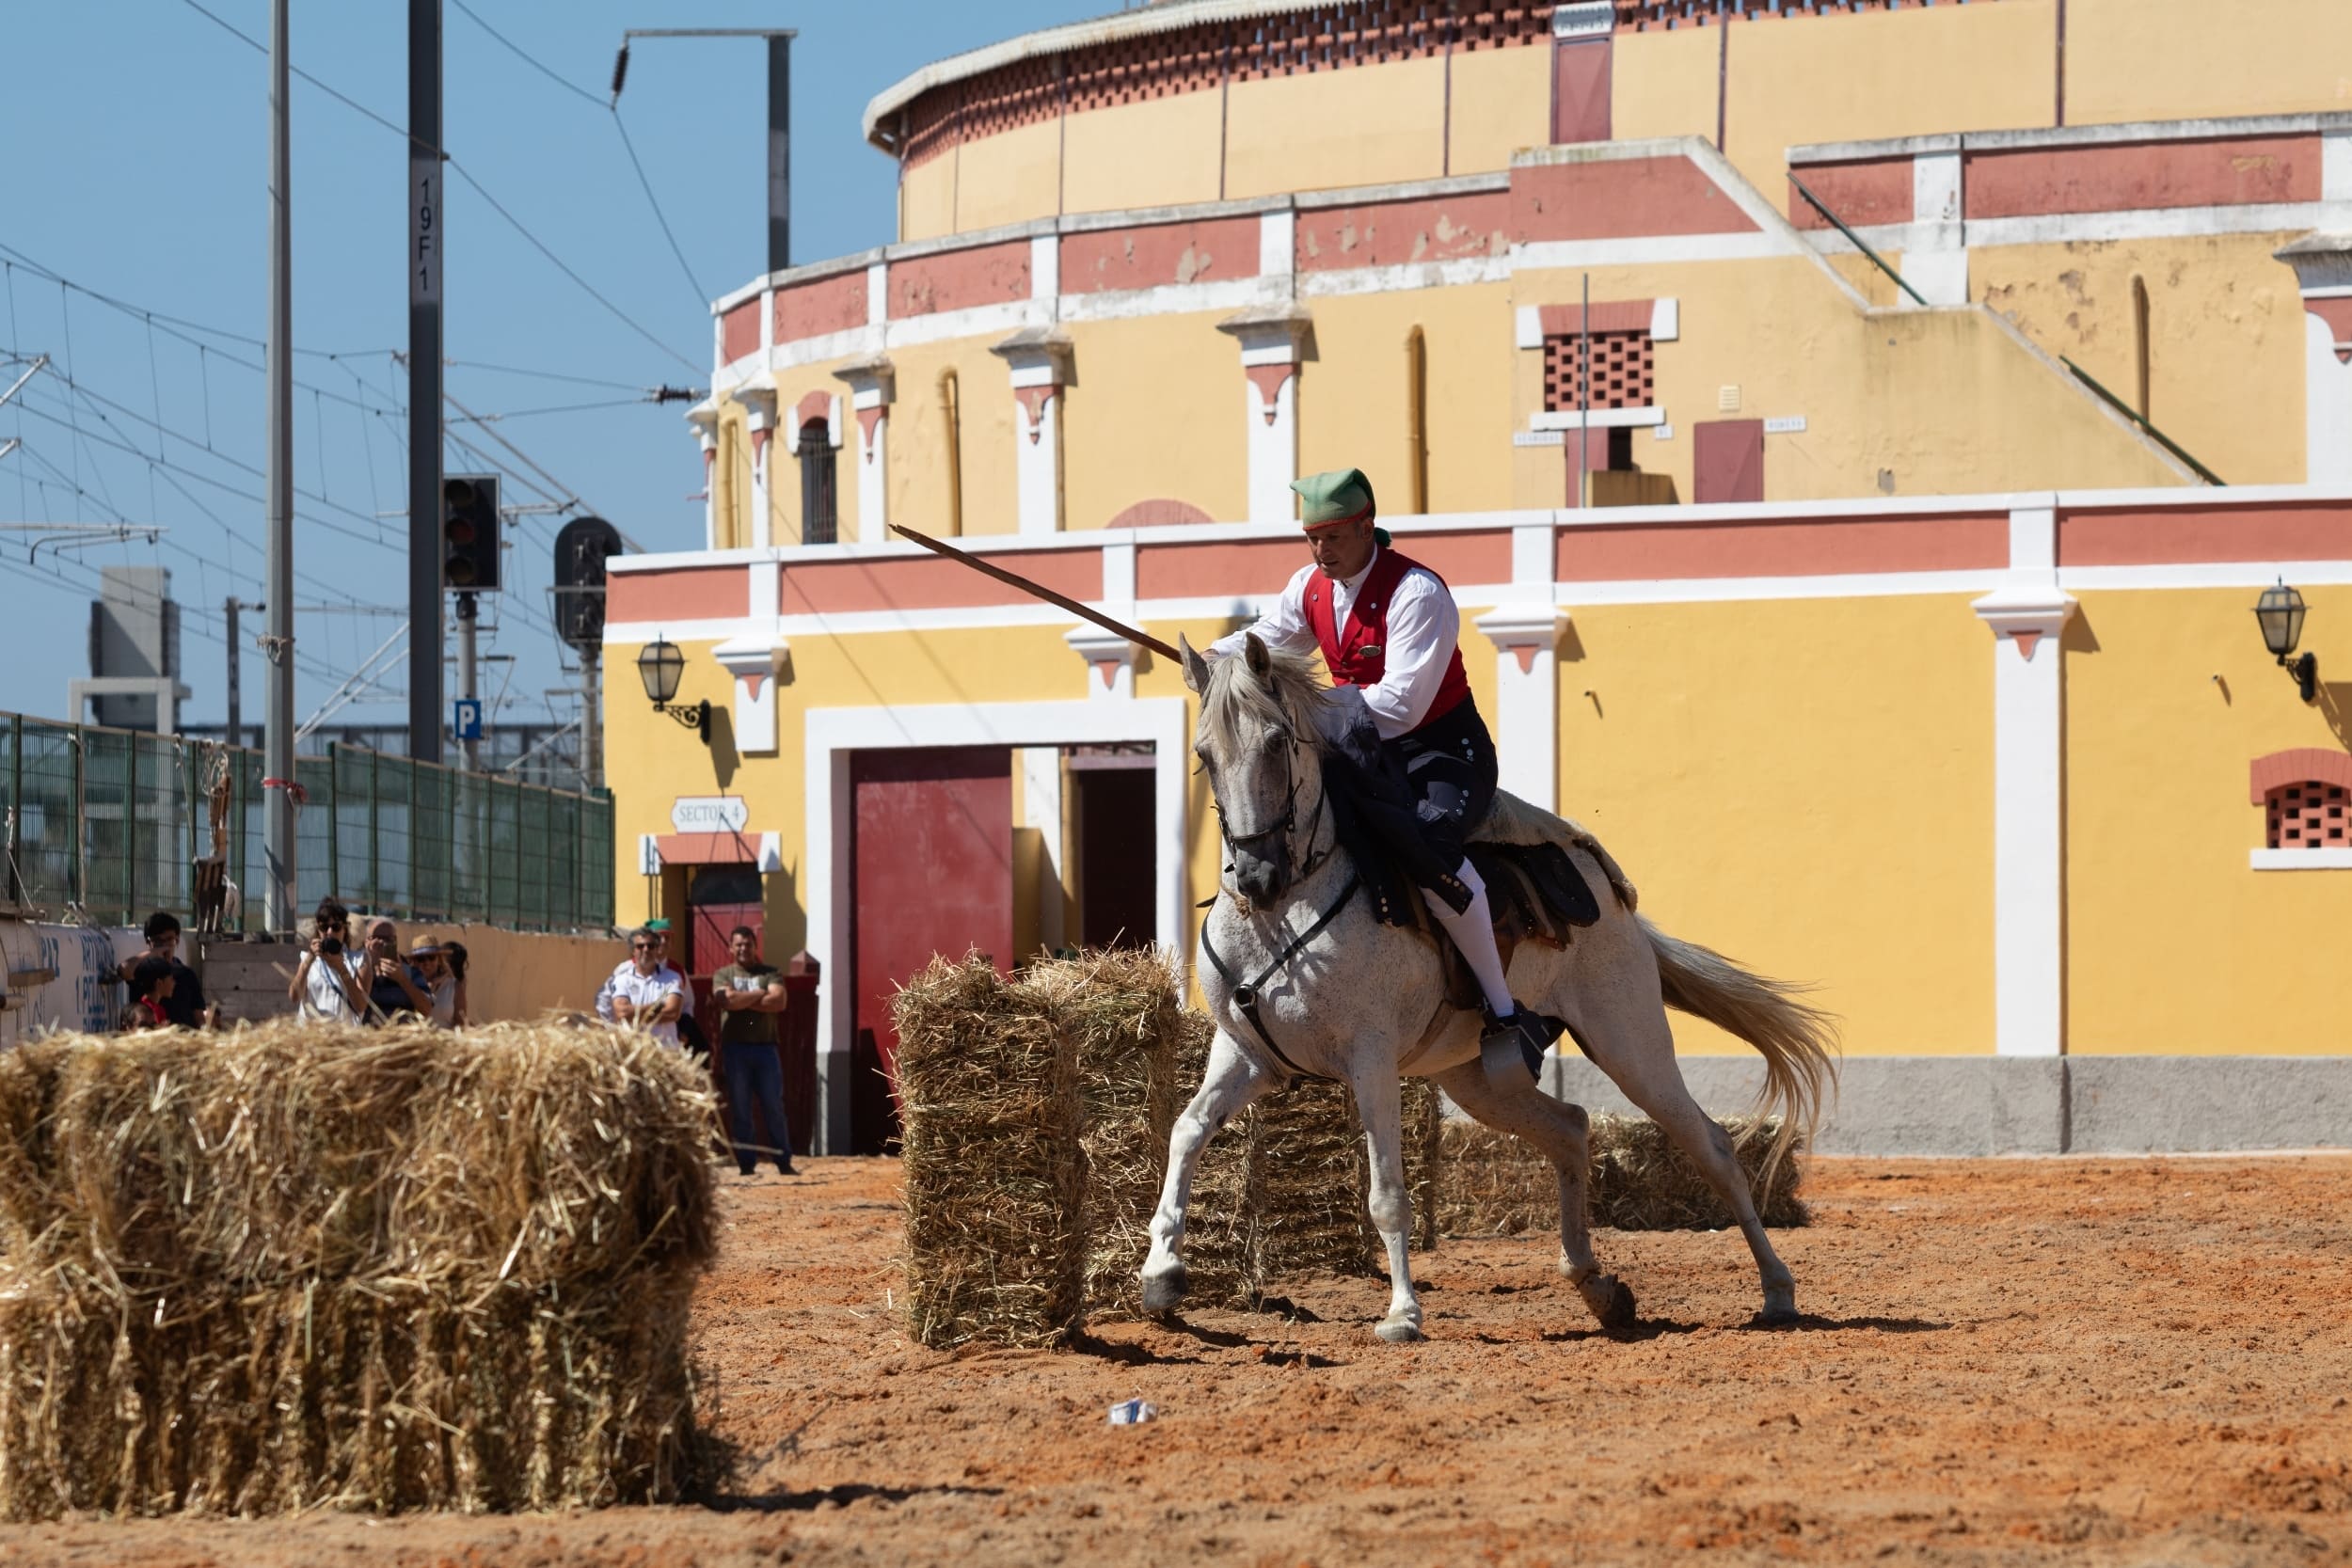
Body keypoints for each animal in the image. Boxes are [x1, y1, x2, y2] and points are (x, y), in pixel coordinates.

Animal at [1138, 629, 1835, 1344]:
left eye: (1278, 742)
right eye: (1204, 754)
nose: (1255, 875)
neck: (1287, 907)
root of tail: (1612, 897)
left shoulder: (1370, 1058)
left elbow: (1387, 1193)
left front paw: (1403, 1311)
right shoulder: (1244, 1052)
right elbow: (1187, 1131)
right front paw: (1161, 1272)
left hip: (1630, 1041)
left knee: (1713, 1147)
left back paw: (1777, 1291)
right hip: (1476, 1078)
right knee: (1570, 1129)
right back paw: (1598, 1286)